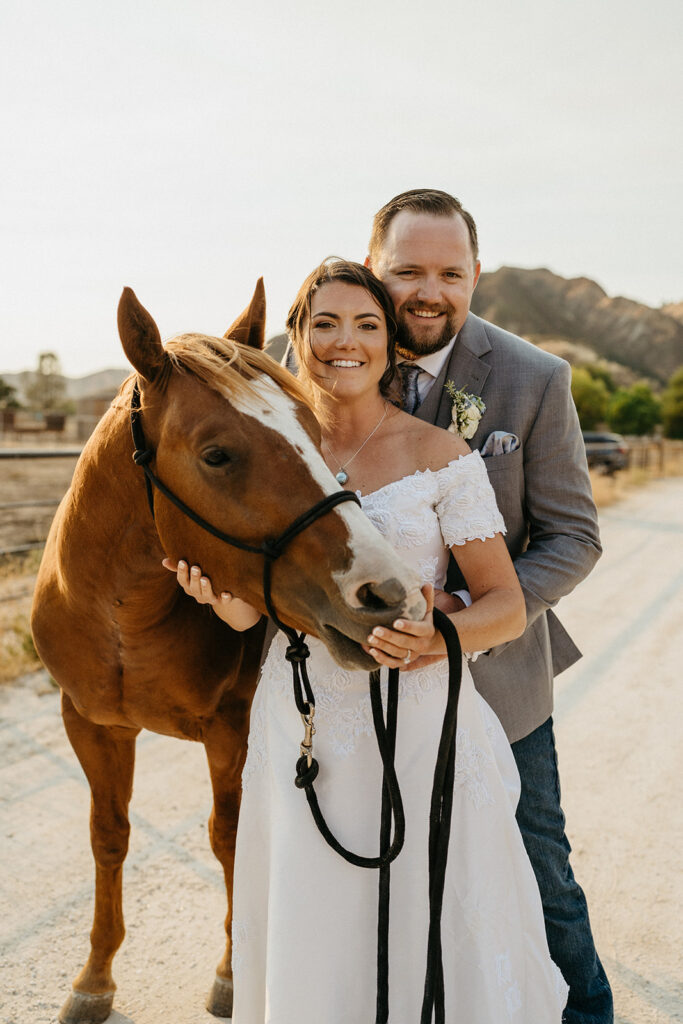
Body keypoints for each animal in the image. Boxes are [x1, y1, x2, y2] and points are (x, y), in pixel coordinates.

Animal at [31, 282, 428, 1024]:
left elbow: (229, 836)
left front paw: (232, 974)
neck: (125, 618)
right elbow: (109, 836)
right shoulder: (91, 726)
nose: (388, 593)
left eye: (314, 433)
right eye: (216, 455)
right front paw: (95, 977)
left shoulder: (231, 728)